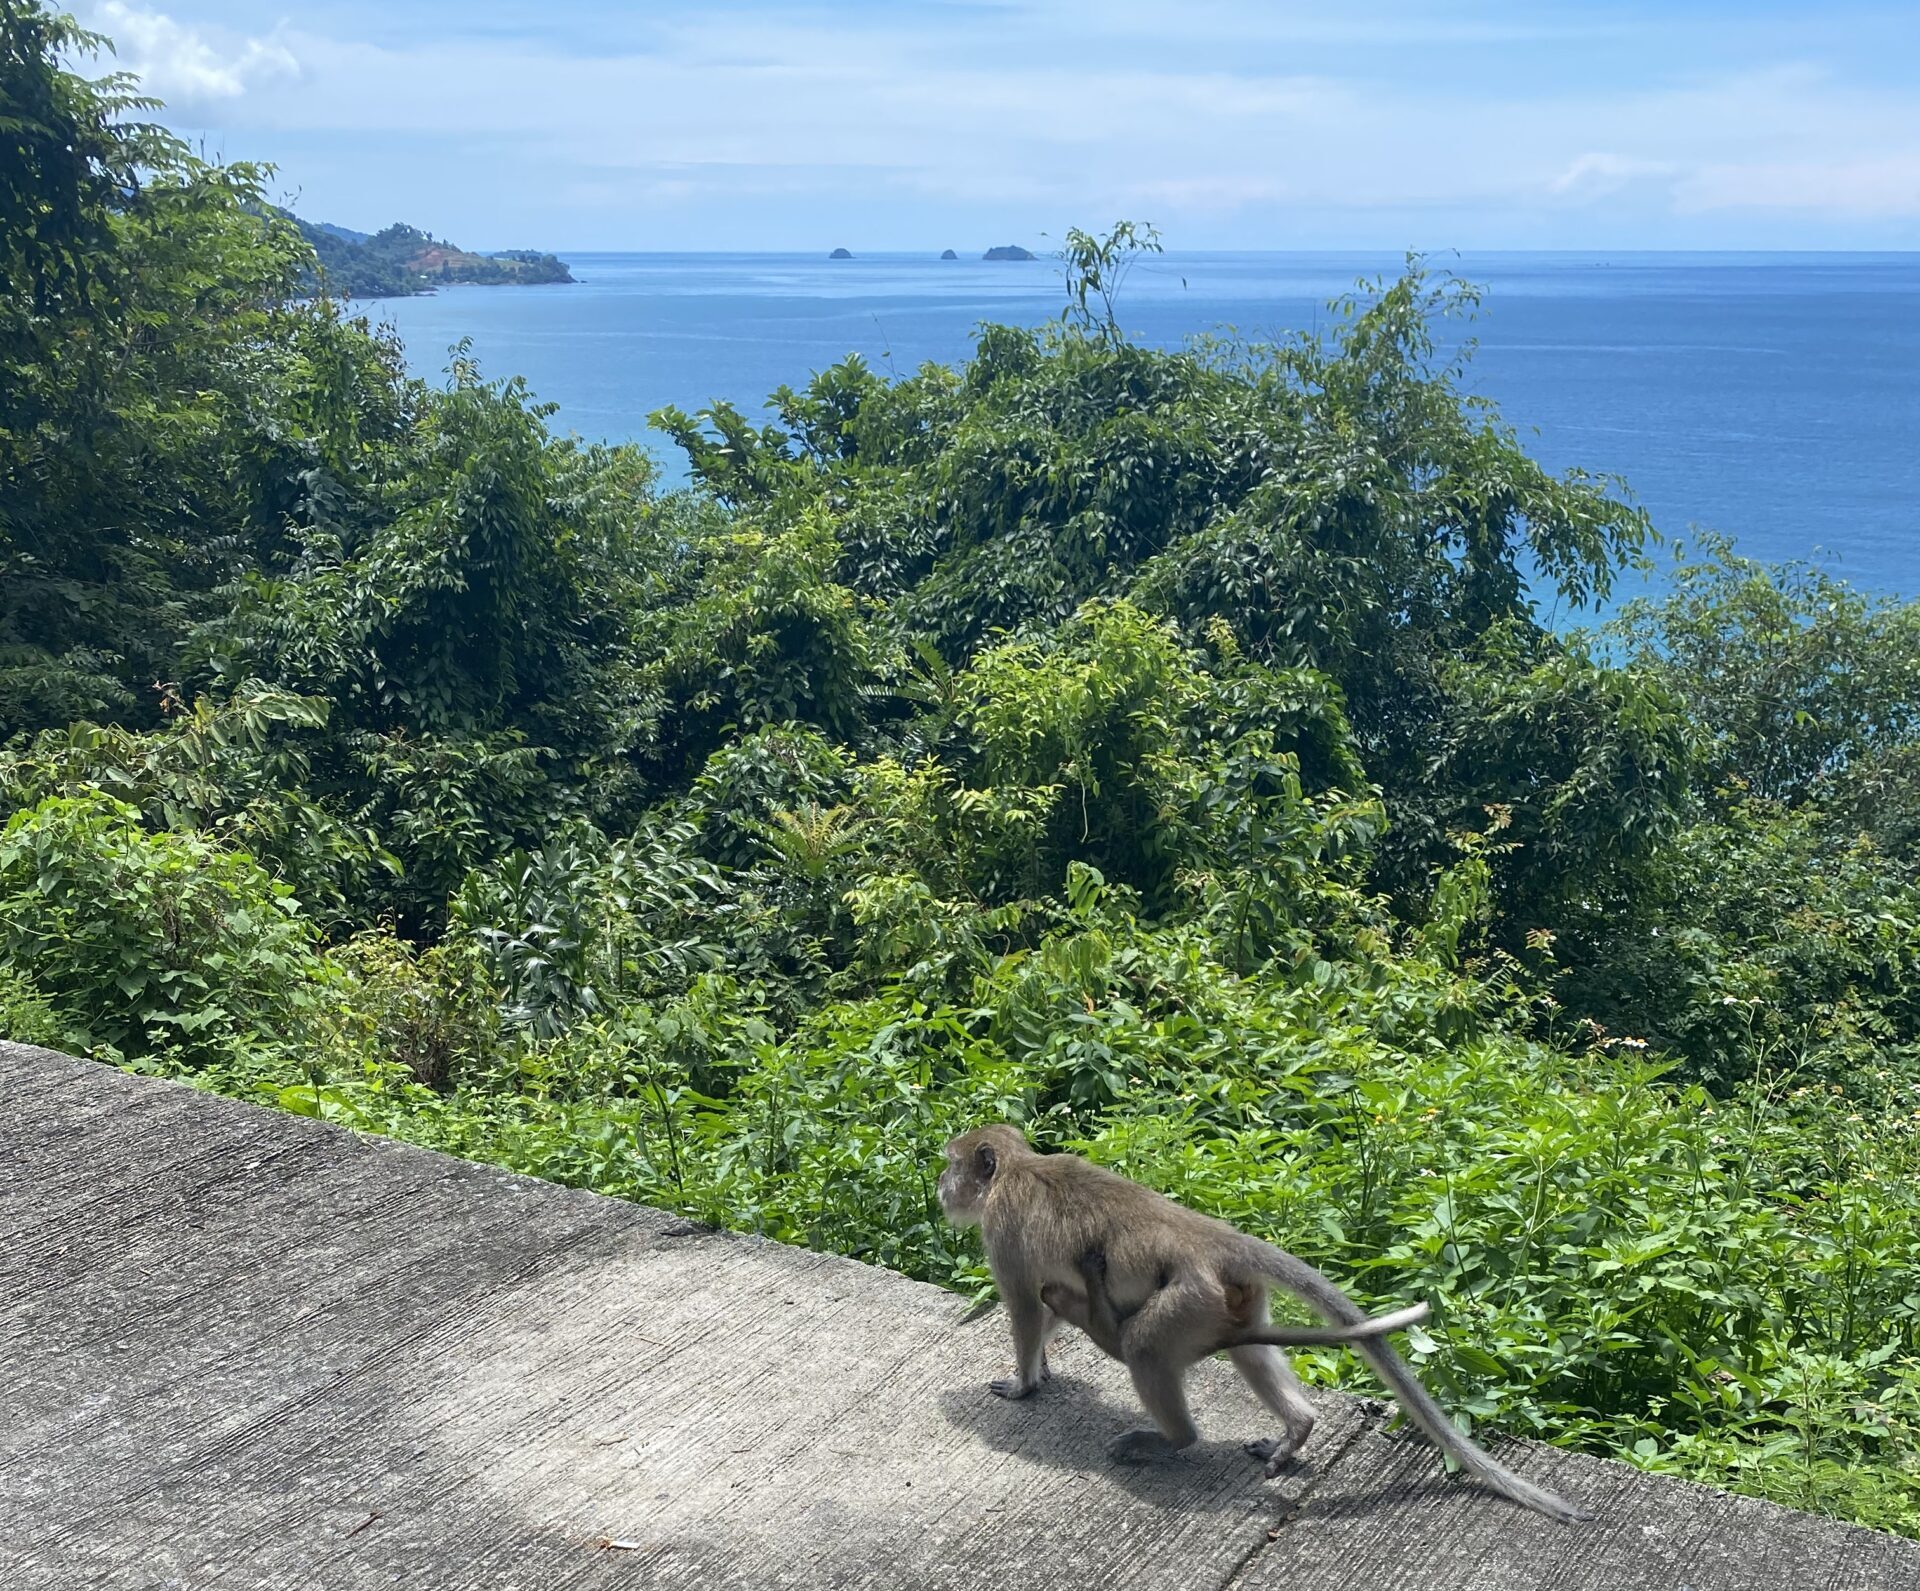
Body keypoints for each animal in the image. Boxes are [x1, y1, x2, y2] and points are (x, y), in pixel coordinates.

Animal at [940, 1120, 1589, 1519]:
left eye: (951, 1165)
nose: (942, 1185)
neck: (1015, 1172)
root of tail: (1216, 1239)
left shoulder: (1004, 1235)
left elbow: (1026, 1308)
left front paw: (1024, 1382)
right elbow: (1047, 1308)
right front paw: (1046, 1367)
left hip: (1188, 1299)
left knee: (1145, 1348)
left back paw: (1173, 1437)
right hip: (1229, 1300)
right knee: (1247, 1350)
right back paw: (1297, 1428)